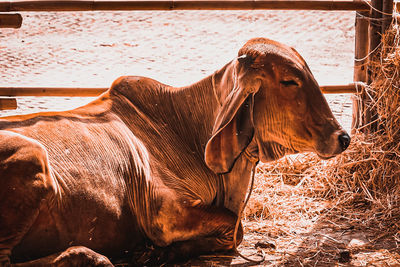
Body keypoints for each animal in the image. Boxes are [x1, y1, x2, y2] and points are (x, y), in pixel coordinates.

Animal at [0, 37, 350, 266]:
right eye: (290, 81)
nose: (343, 137)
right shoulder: (164, 212)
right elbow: (234, 229)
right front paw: (160, 251)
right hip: (33, 156)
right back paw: (85, 256)